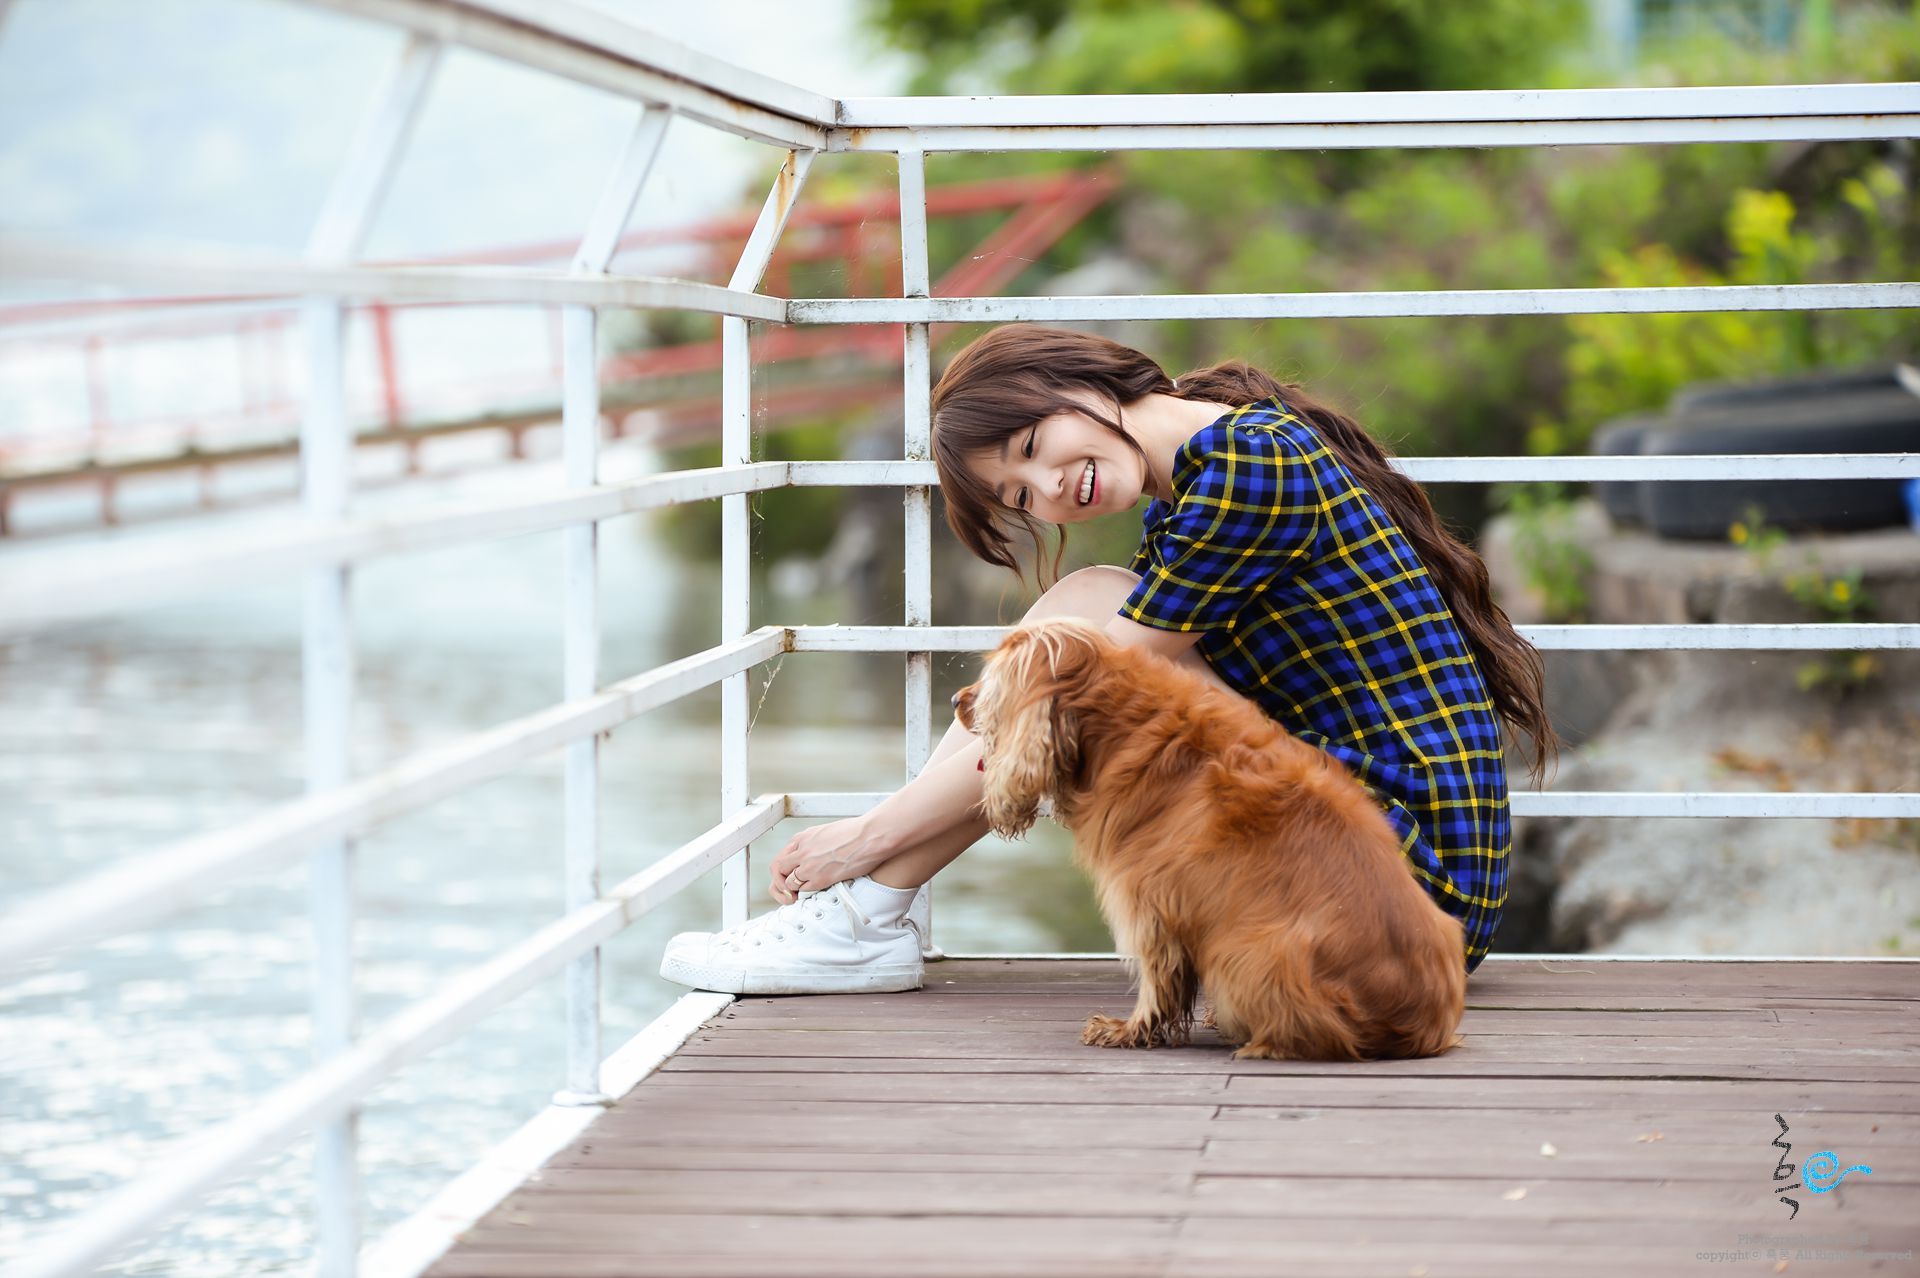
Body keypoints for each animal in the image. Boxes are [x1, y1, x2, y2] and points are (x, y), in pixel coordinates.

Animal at [952, 614, 1459, 1051]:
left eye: (989, 689)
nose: (958, 700)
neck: (1118, 719)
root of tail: (1417, 1023)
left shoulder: (1149, 899)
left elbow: (1156, 978)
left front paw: (1129, 1030)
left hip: (1245, 953)